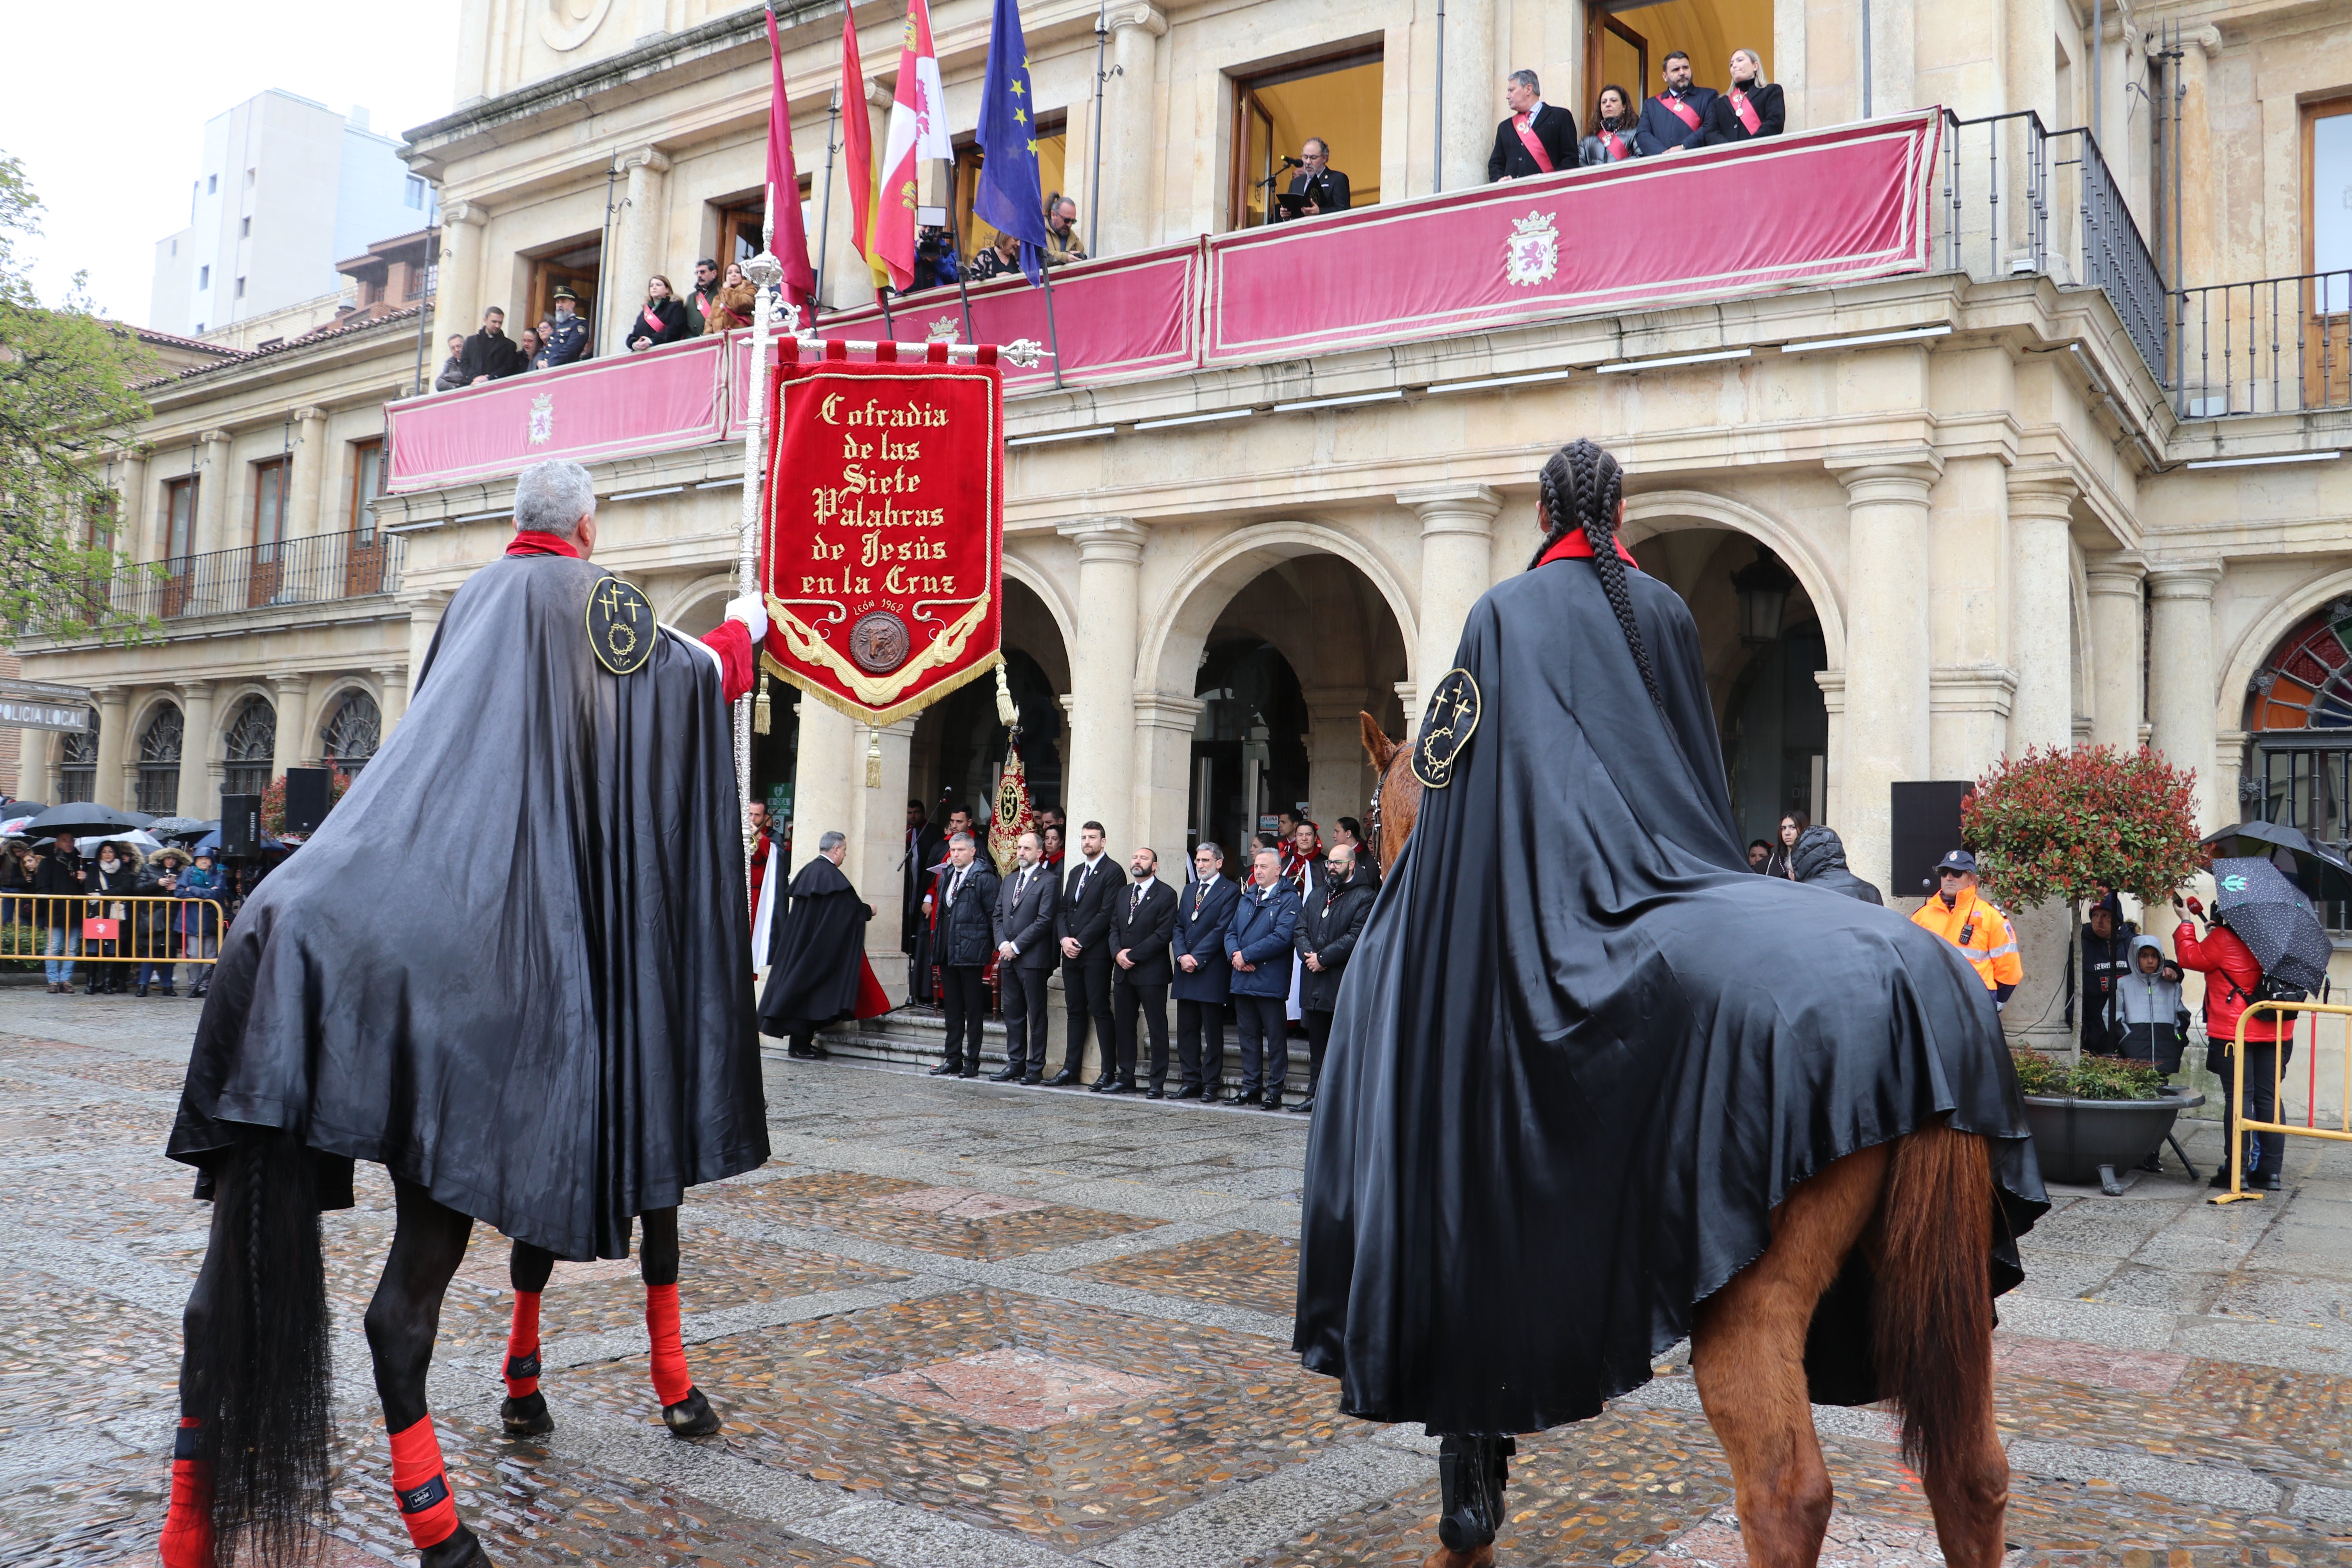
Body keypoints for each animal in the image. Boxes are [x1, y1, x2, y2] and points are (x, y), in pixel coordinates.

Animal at [1364, 719, 2004, 1568]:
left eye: (1373, 815)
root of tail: (1921, 991)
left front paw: (1465, 1529)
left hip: (1754, 1306)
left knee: (1786, 1495)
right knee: (1972, 1474)